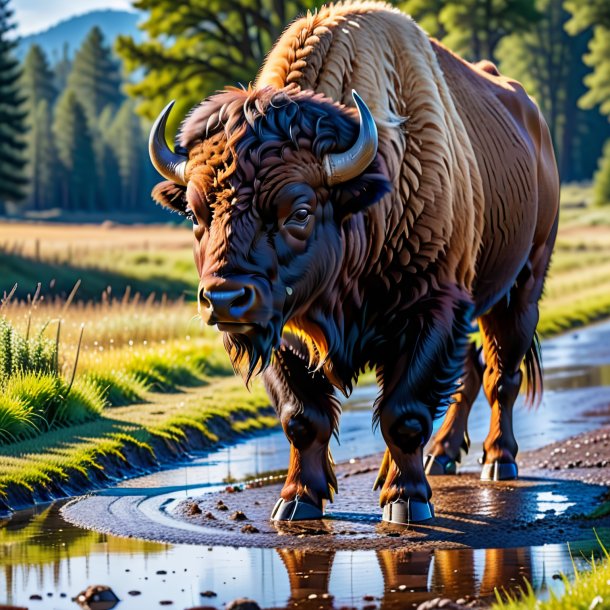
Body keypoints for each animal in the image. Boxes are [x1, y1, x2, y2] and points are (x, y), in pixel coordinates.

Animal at [147, 1, 556, 524]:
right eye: (197, 214)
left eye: (299, 211)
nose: (225, 299)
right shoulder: (286, 328)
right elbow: (303, 417)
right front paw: (297, 500)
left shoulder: (433, 310)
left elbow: (404, 413)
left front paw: (406, 501)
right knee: (469, 376)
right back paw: (440, 456)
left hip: (521, 286)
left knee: (500, 376)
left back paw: (498, 462)